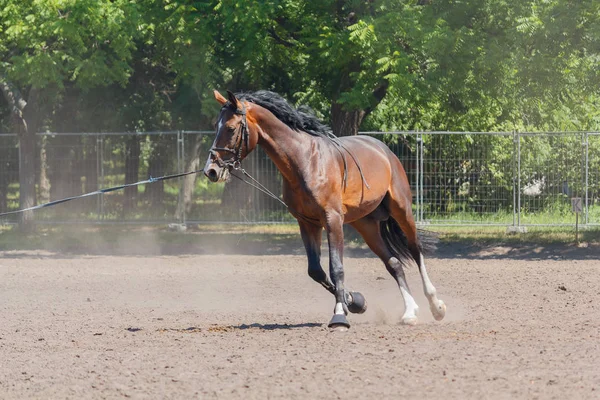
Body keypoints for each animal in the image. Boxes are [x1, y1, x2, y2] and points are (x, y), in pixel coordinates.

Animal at [204, 90, 442, 332]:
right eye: (216, 126)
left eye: (230, 128)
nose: (211, 171)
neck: (305, 162)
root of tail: (384, 150)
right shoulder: (307, 223)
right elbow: (316, 270)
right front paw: (354, 301)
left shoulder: (332, 220)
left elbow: (336, 267)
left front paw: (339, 315)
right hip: (365, 224)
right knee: (394, 263)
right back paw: (410, 312)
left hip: (402, 210)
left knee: (415, 250)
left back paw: (435, 305)